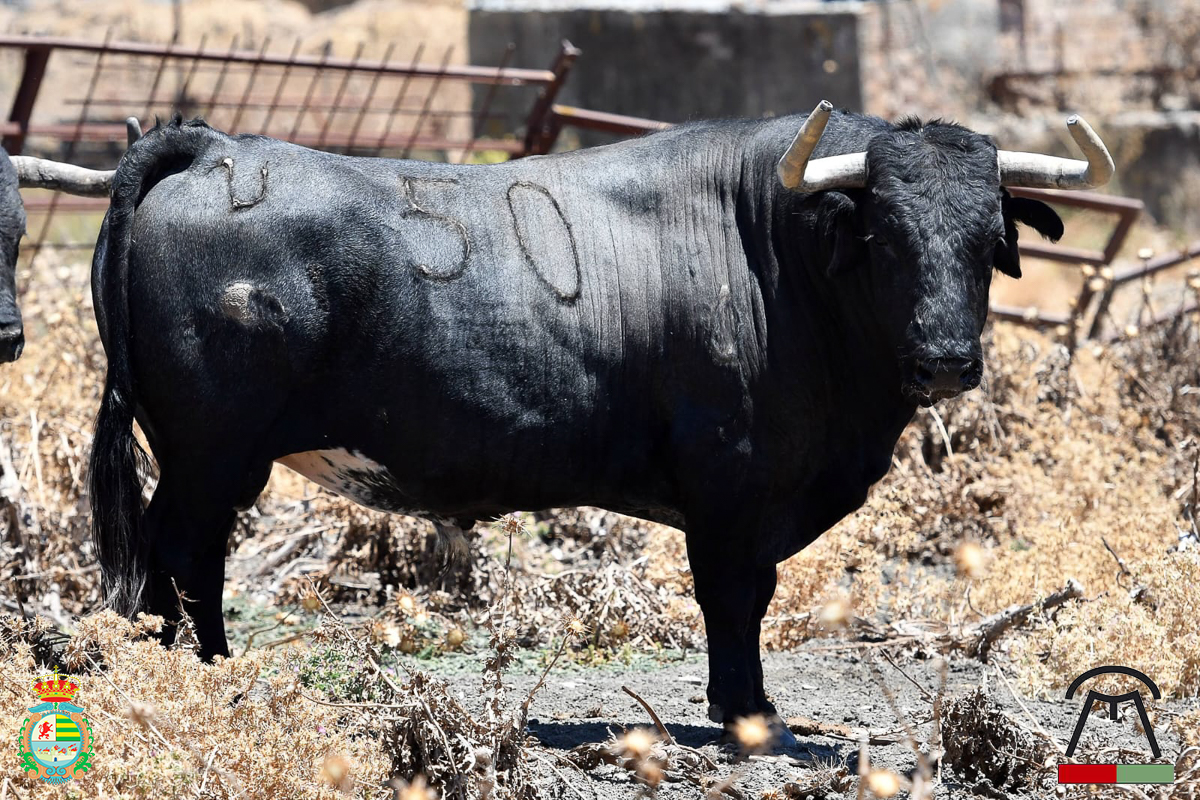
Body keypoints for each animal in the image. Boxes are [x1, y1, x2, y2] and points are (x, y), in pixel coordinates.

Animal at [84, 102, 1112, 739]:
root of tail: (216, 147)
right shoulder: (732, 488)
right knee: (185, 556)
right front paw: (750, 717)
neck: (777, 252)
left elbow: (751, 598)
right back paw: (207, 675)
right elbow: (734, 598)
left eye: (988, 241)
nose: (946, 359)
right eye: (886, 236)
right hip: (211, 456)